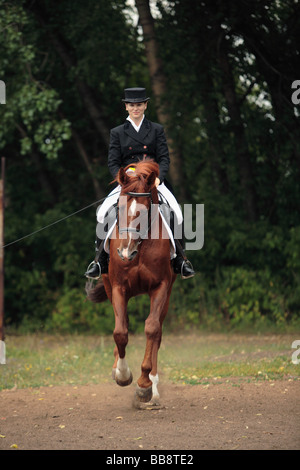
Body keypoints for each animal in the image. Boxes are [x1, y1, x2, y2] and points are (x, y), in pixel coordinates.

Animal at [86, 161, 177, 404]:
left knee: (158, 332)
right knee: (123, 323)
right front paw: (122, 374)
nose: (126, 252)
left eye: (145, 212)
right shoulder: (118, 287)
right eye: (118, 208)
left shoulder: (161, 287)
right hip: (110, 286)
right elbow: (120, 331)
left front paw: (145, 385)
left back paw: (153, 387)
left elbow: (152, 329)